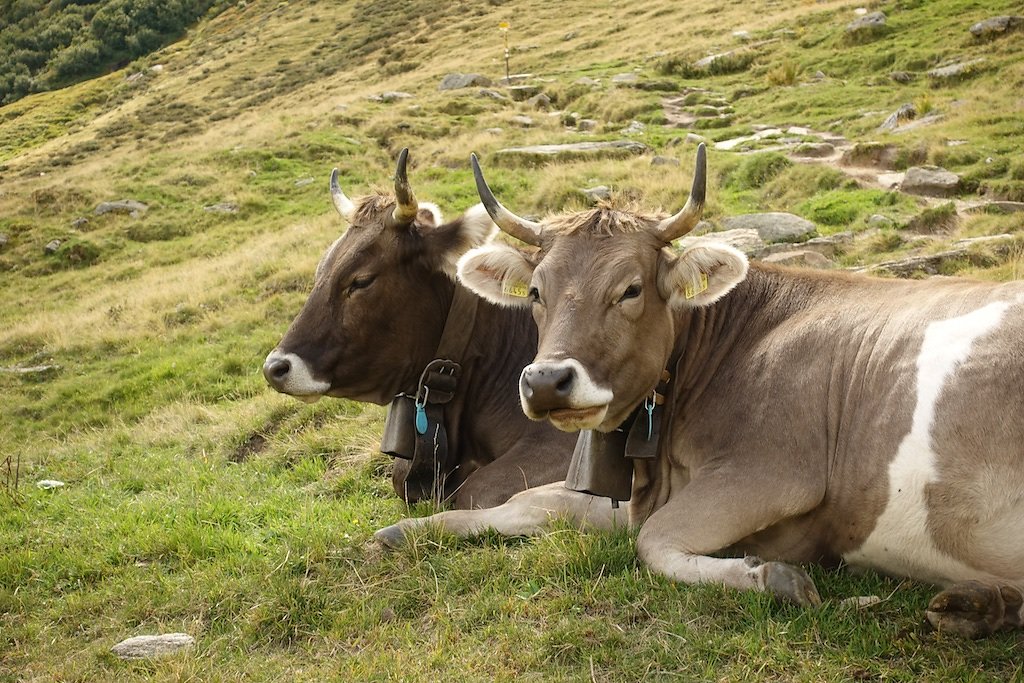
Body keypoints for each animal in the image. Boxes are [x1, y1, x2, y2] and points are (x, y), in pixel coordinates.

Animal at [378, 145, 1024, 643]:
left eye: (631, 289)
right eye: (536, 291)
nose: (544, 381)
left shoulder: (771, 471)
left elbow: (654, 542)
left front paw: (773, 579)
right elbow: (535, 502)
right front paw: (409, 530)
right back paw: (980, 606)